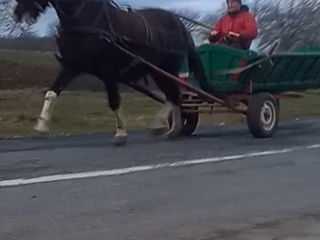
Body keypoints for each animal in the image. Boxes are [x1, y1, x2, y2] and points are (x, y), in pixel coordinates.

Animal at [13, 0, 208, 143]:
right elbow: (51, 93)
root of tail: (180, 24)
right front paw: (41, 127)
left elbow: (114, 101)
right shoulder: (71, 67)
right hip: (157, 70)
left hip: (167, 68)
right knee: (174, 96)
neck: (86, 20)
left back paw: (166, 126)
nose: (17, 13)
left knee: (174, 95)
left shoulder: (109, 71)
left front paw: (121, 133)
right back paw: (173, 129)